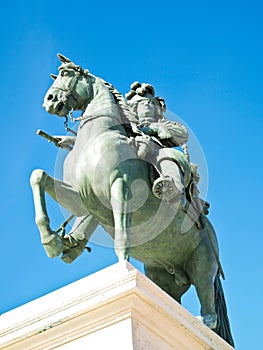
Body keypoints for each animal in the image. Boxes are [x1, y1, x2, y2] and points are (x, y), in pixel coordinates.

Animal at [29, 53, 234, 346]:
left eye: (67, 73)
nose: (50, 100)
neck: (97, 137)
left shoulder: (121, 187)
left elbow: (122, 237)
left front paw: (121, 265)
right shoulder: (82, 200)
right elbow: (38, 177)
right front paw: (51, 241)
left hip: (203, 266)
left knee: (211, 314)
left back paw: (200, 323)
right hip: (162, 275)